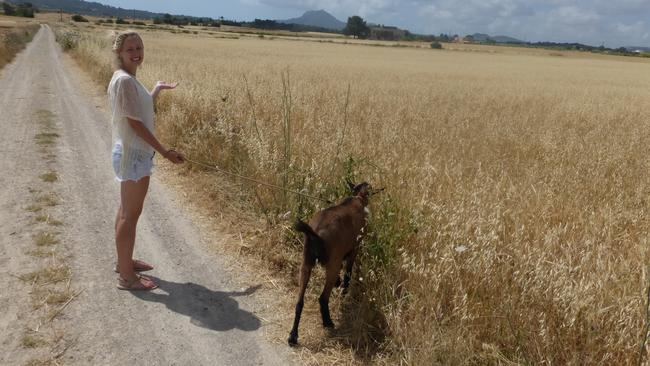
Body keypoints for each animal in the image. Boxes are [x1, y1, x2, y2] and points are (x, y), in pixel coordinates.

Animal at [288, 182, 372, 346]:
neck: (356, 199)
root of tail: (316, 233)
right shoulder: (354, 249)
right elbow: (348, 273)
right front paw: (344, 291)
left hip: (306, 263)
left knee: (299, 302)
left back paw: (293, 336)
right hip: (332, 264)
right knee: (323, 298)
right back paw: (328, 322)